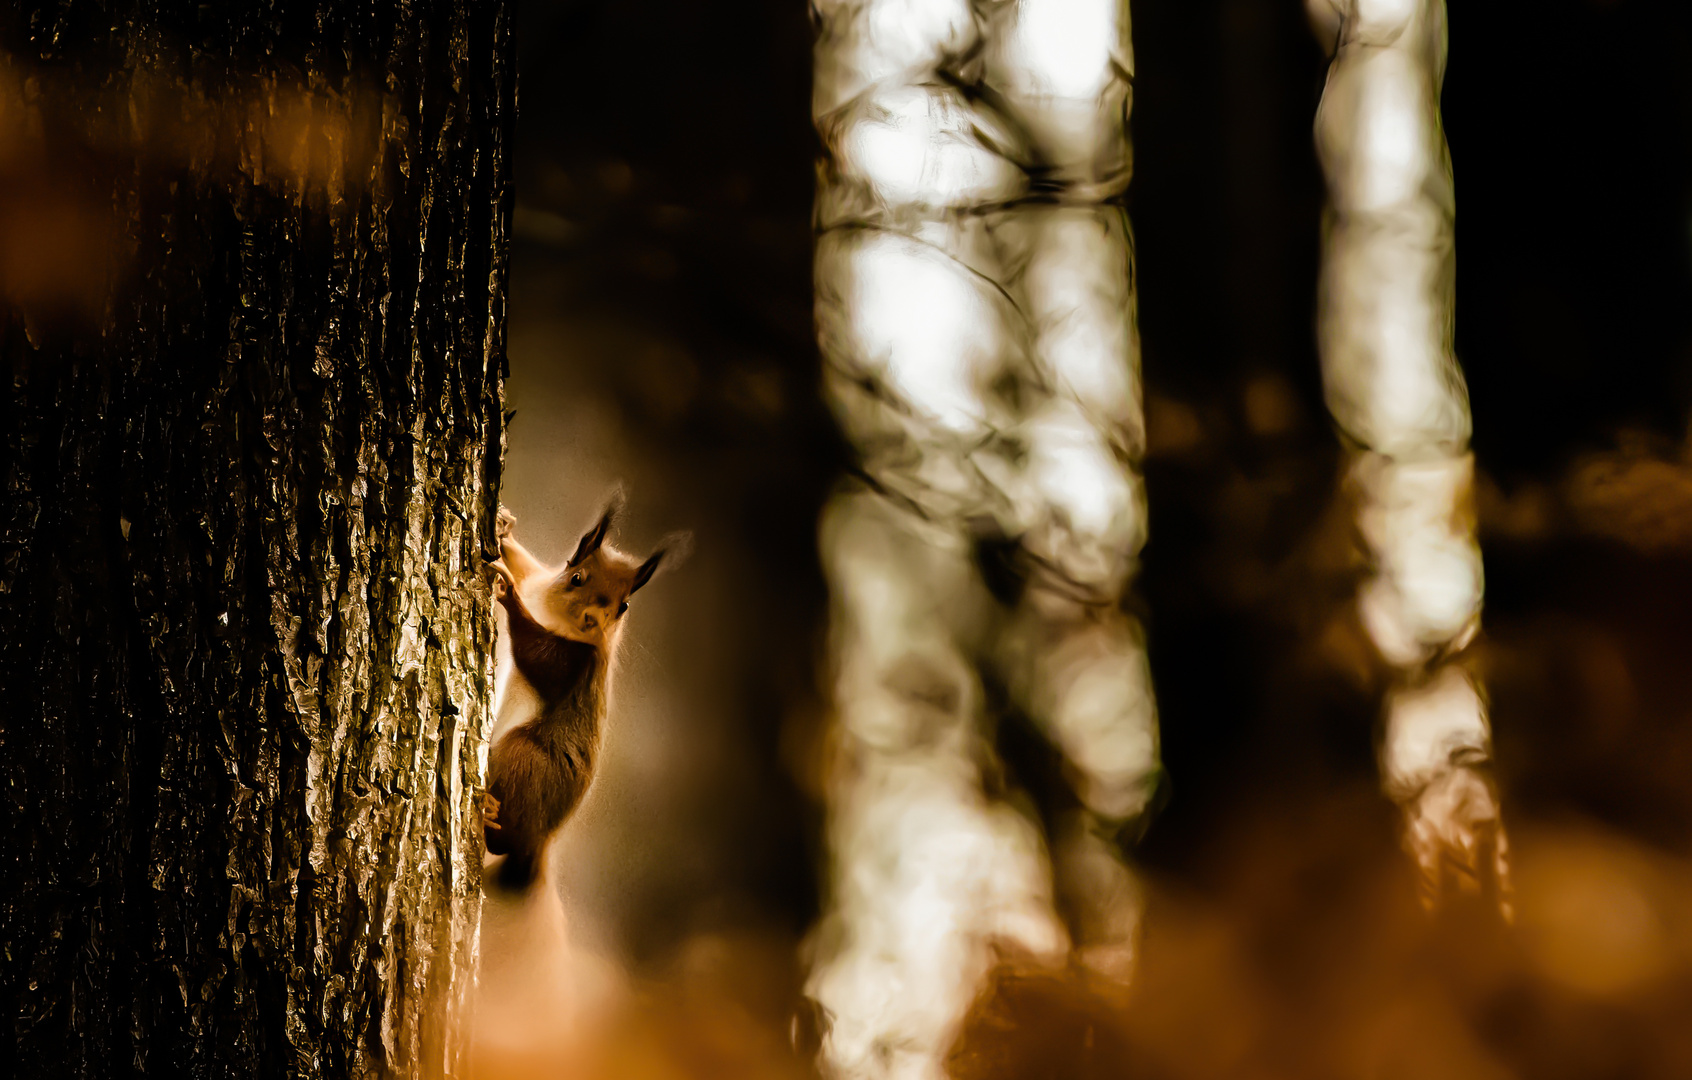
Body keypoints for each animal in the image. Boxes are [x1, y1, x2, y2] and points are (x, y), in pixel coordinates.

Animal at [480, 494, 683, 893]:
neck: (551, 611)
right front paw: (504, 528)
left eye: (623, 606)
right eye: (576, 578)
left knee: (503, 842)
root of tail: (540, 842)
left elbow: (535, 655)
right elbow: (525, 564)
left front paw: (509, 597)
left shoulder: (576, 663)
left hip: (525, 756)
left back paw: (488, 817)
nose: (594, 619)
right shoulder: (538, 578)